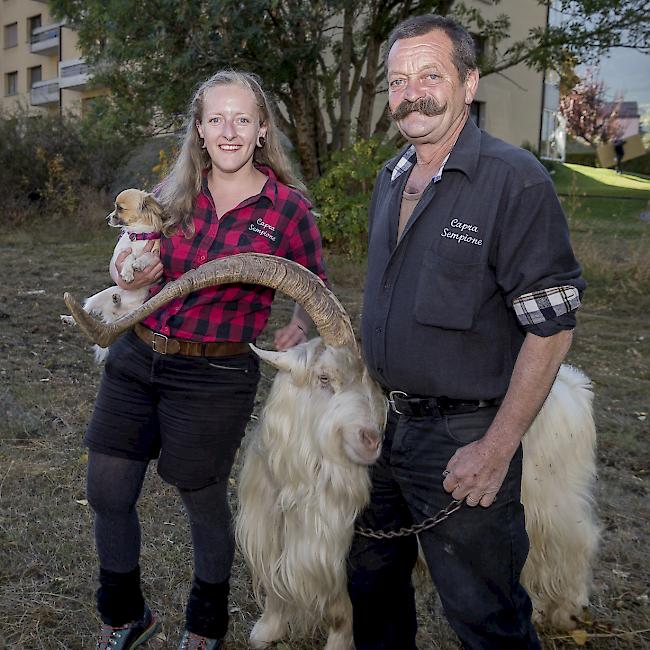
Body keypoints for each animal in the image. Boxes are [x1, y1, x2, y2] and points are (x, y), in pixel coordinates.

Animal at [60, 187, 163, 362]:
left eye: (120, 208)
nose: (107, 218)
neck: (138, 235)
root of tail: (114, 314)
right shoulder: (120, 254)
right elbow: (128, 256)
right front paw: (128, 272)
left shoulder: (157, 258)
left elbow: (146, 256)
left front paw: (139, 264)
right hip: (99, 296)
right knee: (85, 311)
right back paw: (70, 319)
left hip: (136, 313)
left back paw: (117, 301)